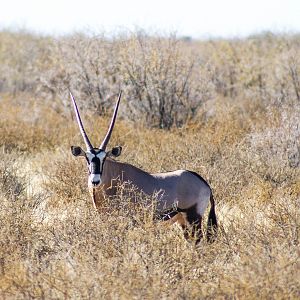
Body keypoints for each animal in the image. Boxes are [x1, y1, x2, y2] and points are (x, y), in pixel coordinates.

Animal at [69, 91, 218, 241]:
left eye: (104, 158)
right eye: (87, 158)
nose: (95, 181)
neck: (113, 177)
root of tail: (204, 184)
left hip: (193, 218)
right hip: (183, 221)